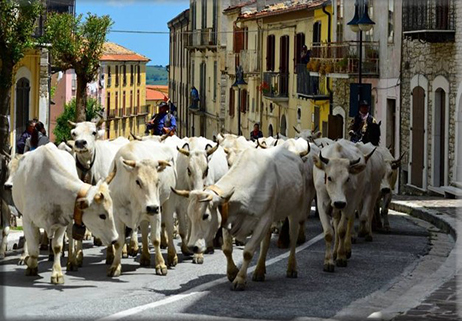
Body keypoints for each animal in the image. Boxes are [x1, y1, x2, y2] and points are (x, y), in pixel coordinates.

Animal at [11, 143, 119, 282]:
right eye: (102, 215)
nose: (115, 240)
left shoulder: (62, 221)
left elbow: (57, 247)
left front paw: (57, 274)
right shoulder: (28, 221)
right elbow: (33, 249)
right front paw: (31, 265)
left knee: (71, 237)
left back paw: (71, 262)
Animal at [106, 139, 177, 276]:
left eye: (157, 181)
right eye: (138, 181)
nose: (152, 207)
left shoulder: (156, 212)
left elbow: (155, 239)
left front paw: (161, 264)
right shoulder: (117, 215)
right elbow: (119, 242)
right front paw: (115, 266)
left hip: (169, 201)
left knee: (170, 228)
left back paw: (172, 256)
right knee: (144, 229)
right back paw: (145, 256)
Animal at [173, 145, 310, 290]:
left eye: (206, 215)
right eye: (189, 215)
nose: (192, 247)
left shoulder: (264, 219)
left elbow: (248, 251)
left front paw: (239, 279)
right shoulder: (228, 218)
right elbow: (227, 249)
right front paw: (232, 272)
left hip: (295, 210)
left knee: (293, 238)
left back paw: (291, 268)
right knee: (265, 243)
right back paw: (259, 271)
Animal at [312, 139, 374, 272]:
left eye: (347, 179)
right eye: (329, 178)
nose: (339, 202)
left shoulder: (348, 204)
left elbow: (341, 230)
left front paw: (341, 257)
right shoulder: (322, 204)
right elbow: (329, 233)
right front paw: (329, 261)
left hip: (354, 200)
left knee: (349, 223)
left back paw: (346, 250)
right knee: (335, 223)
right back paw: (334, 252)